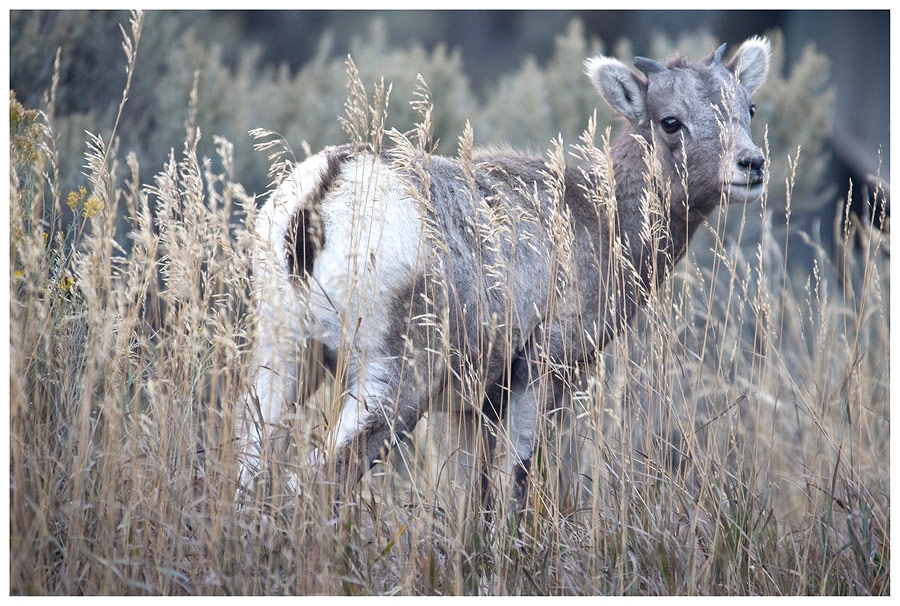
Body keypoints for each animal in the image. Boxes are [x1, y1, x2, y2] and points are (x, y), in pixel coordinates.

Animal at [236, 35, 768, 510]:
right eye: (670, 122)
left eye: (748, 108)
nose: (752, 165)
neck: (600, 221)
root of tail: (321, 198)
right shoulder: (539, 373)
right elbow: (514, 481)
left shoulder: (465, 409)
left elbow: (464, 500)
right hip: (392, 383)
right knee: (316, 480)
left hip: (282, 360)